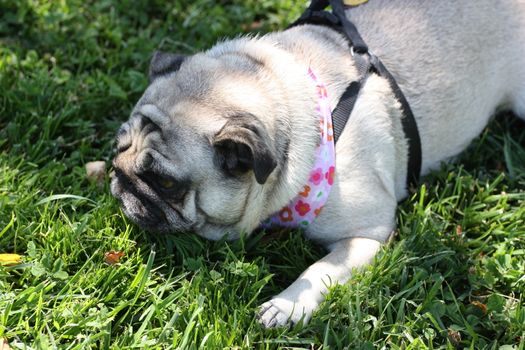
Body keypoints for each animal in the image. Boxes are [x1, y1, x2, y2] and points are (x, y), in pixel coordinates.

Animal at [110, 0, 524, 328]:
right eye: (117, 149)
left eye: (165, 183)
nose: (121, 179)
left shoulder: (368, 234)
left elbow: (321, 269)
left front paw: (286, 305)